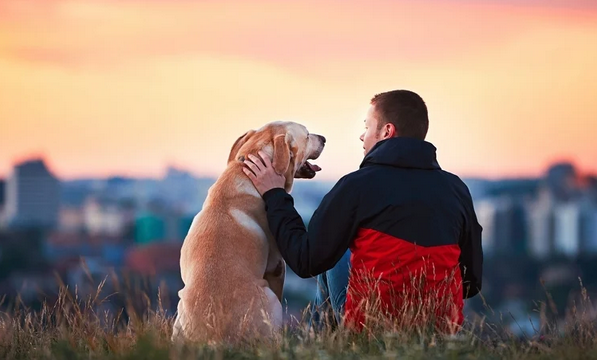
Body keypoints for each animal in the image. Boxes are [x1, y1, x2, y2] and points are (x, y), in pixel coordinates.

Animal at [172, 122, 326, 344]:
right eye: (306, 135)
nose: (324, 138)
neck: (245, 173)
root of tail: (215, 338)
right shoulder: (277, 266)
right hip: (270, 299)